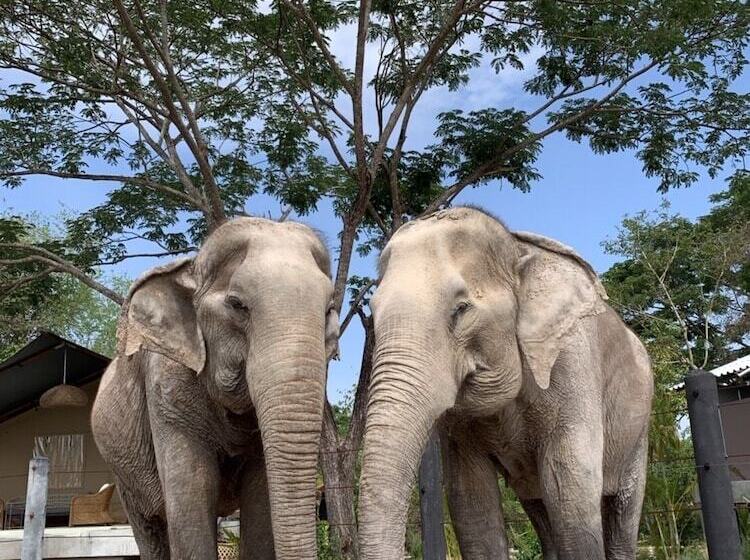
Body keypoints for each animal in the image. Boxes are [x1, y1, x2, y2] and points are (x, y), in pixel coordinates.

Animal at [91, 217, 339, 560]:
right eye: (237, 304)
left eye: (329, 310)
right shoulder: (167, 390)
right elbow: (194, 491)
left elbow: (259, 502)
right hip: (121, 466)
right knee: (150, 530)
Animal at [358, 207, 653, 560]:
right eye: (372, 312)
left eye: (461, 309)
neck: (517, 249)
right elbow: (471, 502)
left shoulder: (572, 362)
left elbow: (569, 486)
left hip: (638, 432)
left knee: (621, 511)